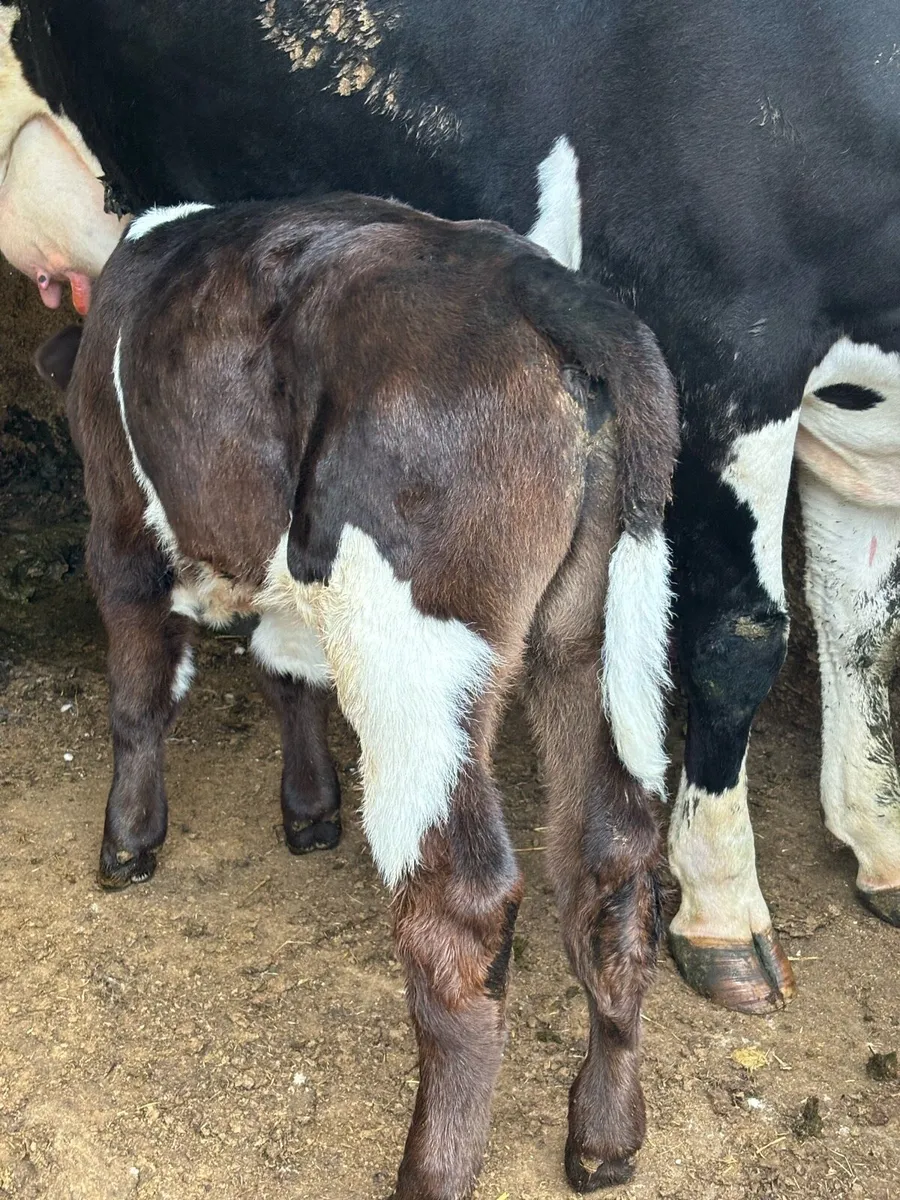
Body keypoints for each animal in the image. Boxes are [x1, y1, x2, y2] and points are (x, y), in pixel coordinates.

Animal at [38, 194, 679, 1198]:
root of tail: (541, 284)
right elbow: (286, 673)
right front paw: (309, 811)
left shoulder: (122, 529)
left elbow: (141, 696)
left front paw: (129, 840)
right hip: (594, 639)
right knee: (613, 864)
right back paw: (606, 1131)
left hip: (411, 655)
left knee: (461, 907)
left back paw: (432, 1168)